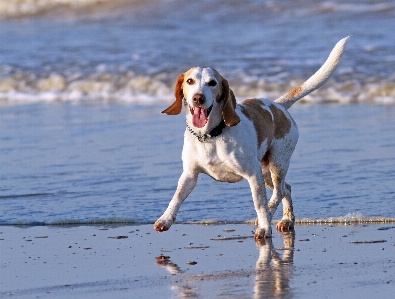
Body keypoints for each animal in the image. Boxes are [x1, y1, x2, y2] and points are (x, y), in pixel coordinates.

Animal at [154, 37, 350, 239]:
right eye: (190, 81)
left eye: (212, 83)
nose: (198, 98)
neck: (211, 136)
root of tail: (279, 105)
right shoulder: (189, 174)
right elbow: (176, 197)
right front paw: (165, 219)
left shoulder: (252, 174)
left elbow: (260, 203)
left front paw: (264, 227)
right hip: (266, 172)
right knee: (286, 189)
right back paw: (287, 220)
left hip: (276, 164)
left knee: (279, 192)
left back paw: (271, 217)